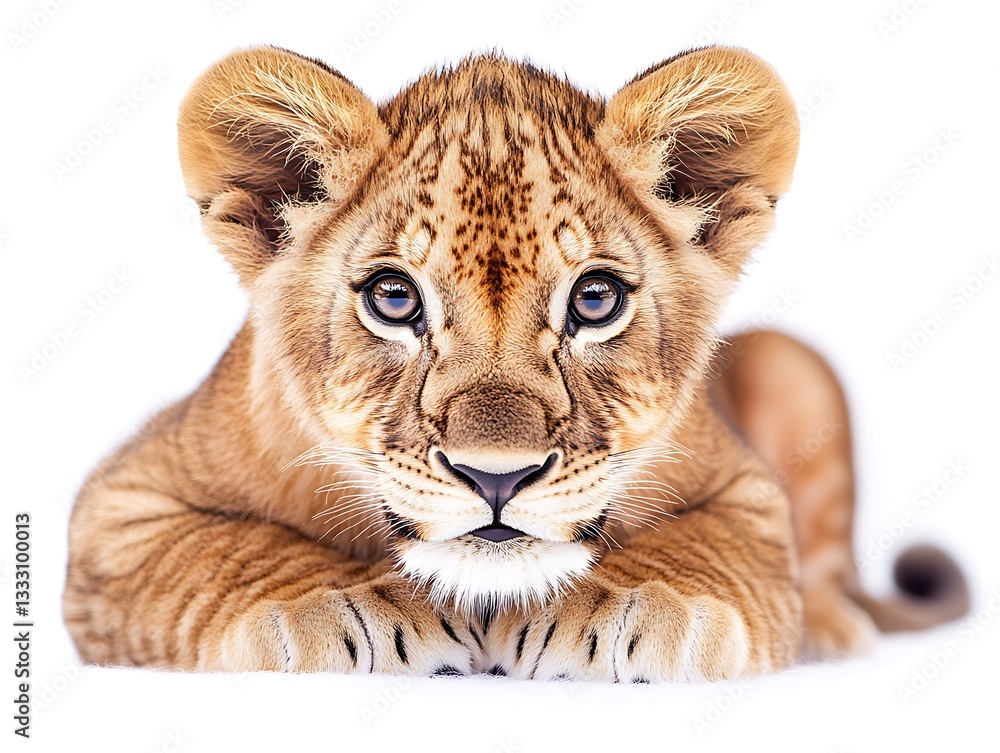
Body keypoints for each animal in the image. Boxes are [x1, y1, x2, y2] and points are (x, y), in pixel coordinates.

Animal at [63, 45, 968, 681]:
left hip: (795, 363)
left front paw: (640, 601)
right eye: (393, 298)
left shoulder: (748, 491)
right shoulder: (115, 506)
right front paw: (335, 604)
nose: (495, 476)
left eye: (594, 300)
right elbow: (221, 551)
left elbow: (709, 543)